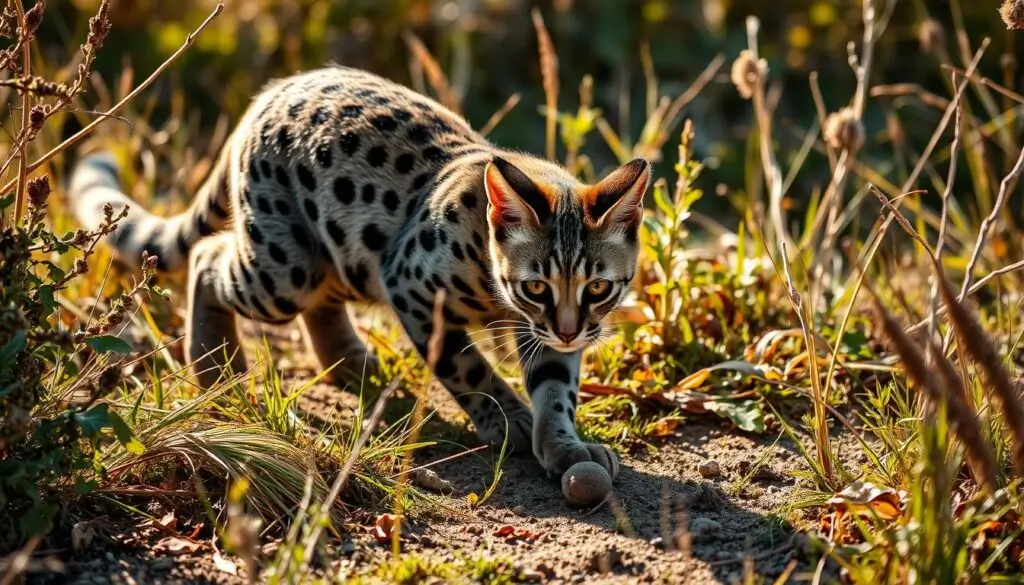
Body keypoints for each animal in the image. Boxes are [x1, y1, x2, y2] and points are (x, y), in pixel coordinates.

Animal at [70, 66, 647, 483]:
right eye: (535, 286)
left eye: (599, 287)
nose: (571, 330)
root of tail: (268, 95)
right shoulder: (413, 285)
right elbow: (467, 368)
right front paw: (509, 420)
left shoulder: (547, 331)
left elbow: (555, 388)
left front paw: (565, 447)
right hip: (286, 267)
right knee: (209, 257)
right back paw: (216, 366)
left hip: (339, 254)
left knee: (320, 306)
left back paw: (353, 364)